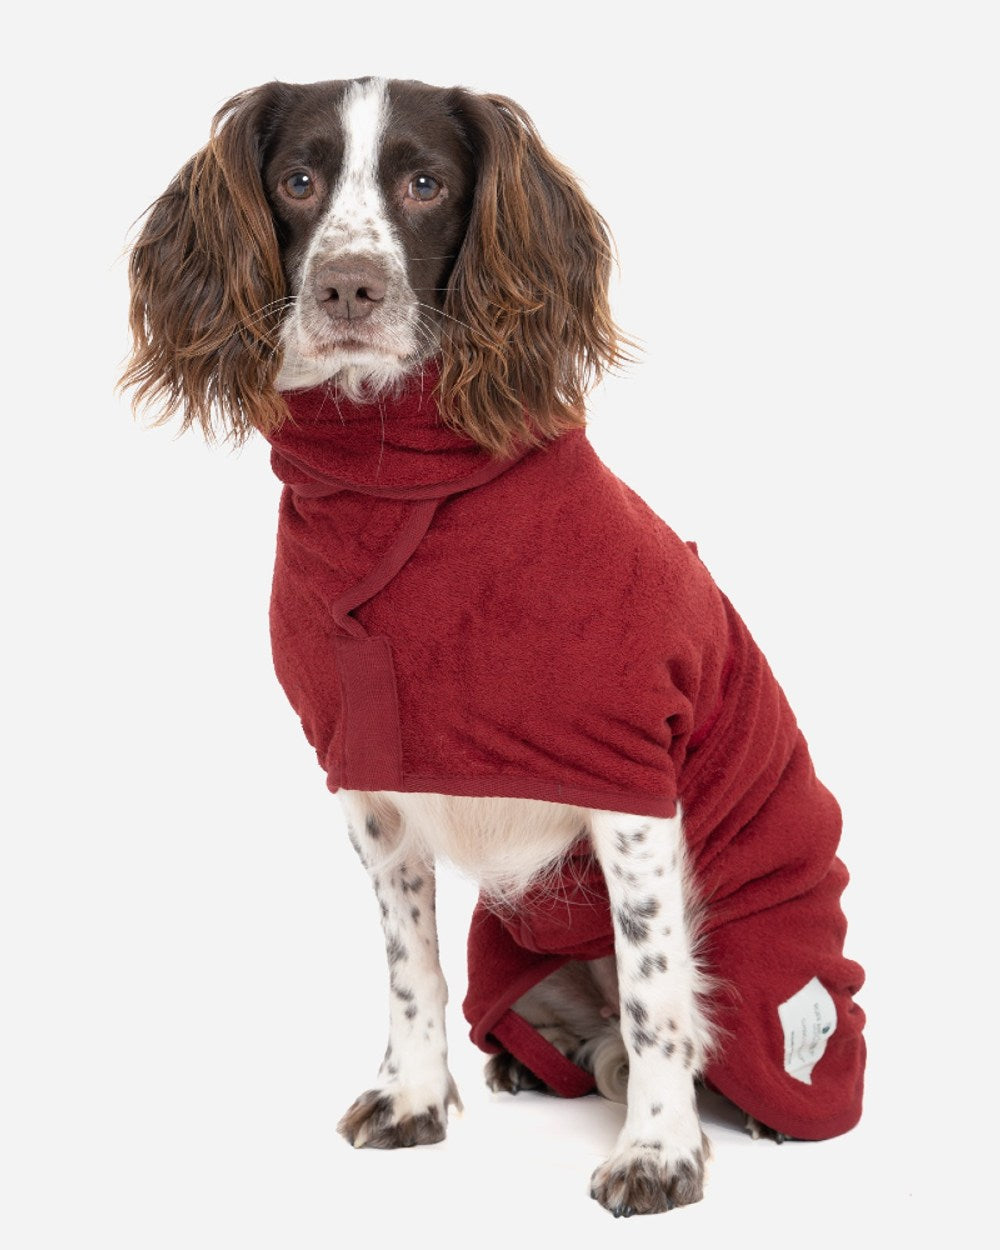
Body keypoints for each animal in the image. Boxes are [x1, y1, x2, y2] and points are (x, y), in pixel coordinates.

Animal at [121, 73, 865, 1215]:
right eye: (298, 180)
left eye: (426, 184)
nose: (347, 288)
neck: (396, 487)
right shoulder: (369, 785)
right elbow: (409, 966)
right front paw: (415, 1097)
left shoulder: (631, 779)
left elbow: (656, 997)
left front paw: (658, 1155)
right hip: (511, 962)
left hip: (767, 964)